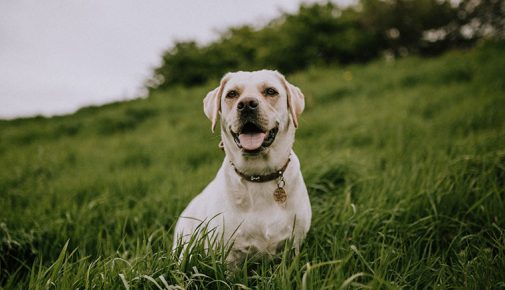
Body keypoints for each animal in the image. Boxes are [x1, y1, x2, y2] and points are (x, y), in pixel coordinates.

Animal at [174, 69, 312, 262]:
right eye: (232, 94)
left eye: (270, 91)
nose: (246, 104)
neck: (258, 175)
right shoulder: (226, 254)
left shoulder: (294, 245)